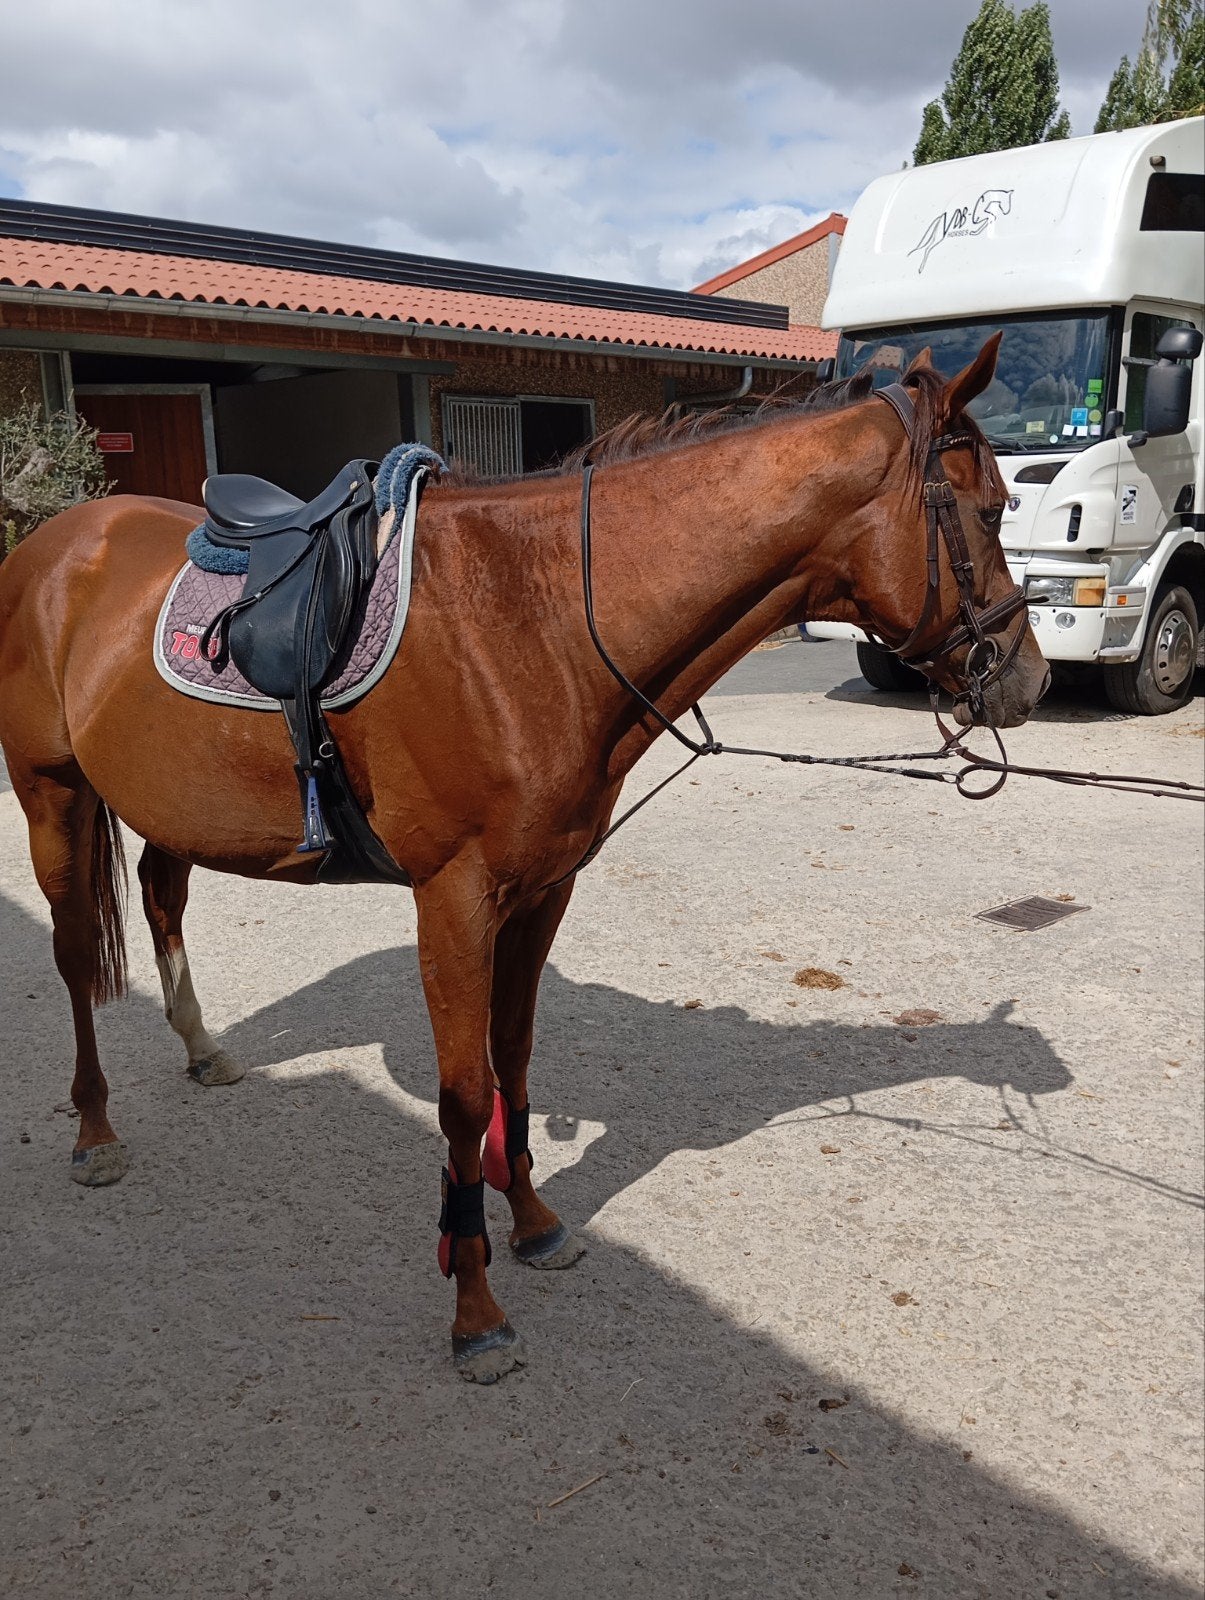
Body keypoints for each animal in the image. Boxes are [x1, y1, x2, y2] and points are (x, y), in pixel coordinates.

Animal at [0, 336, 1049, 1382]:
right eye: (992, 507)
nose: (1027, 679)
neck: (535, 622)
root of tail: (53, 544)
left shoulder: (542, 891)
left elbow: (514, 1056)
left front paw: (534, 1221)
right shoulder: (453, 900)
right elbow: (464, 1099)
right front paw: (474, 1307)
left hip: (168, 803)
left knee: (159, 895)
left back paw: (203, 1048)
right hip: (53, 793)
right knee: (73, 957)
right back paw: (94, 1132)